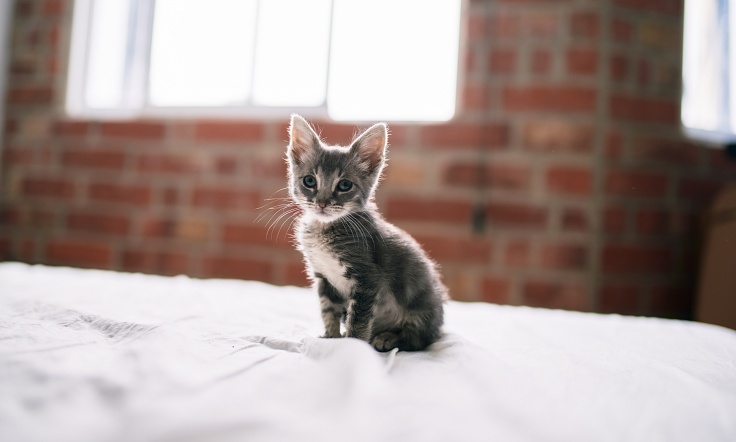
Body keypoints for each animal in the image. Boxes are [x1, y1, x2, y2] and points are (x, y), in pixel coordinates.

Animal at [288, 114, 448, 352]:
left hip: (422, 303)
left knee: (418, 339)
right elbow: (329, 310)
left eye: (345, 185)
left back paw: (388, 338)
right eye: (309, 181)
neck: (325, 229)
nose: (322, 203)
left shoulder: (368, 279)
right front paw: (331, 337)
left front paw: (351, 346)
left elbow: (358, 320)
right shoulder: (324, 278)